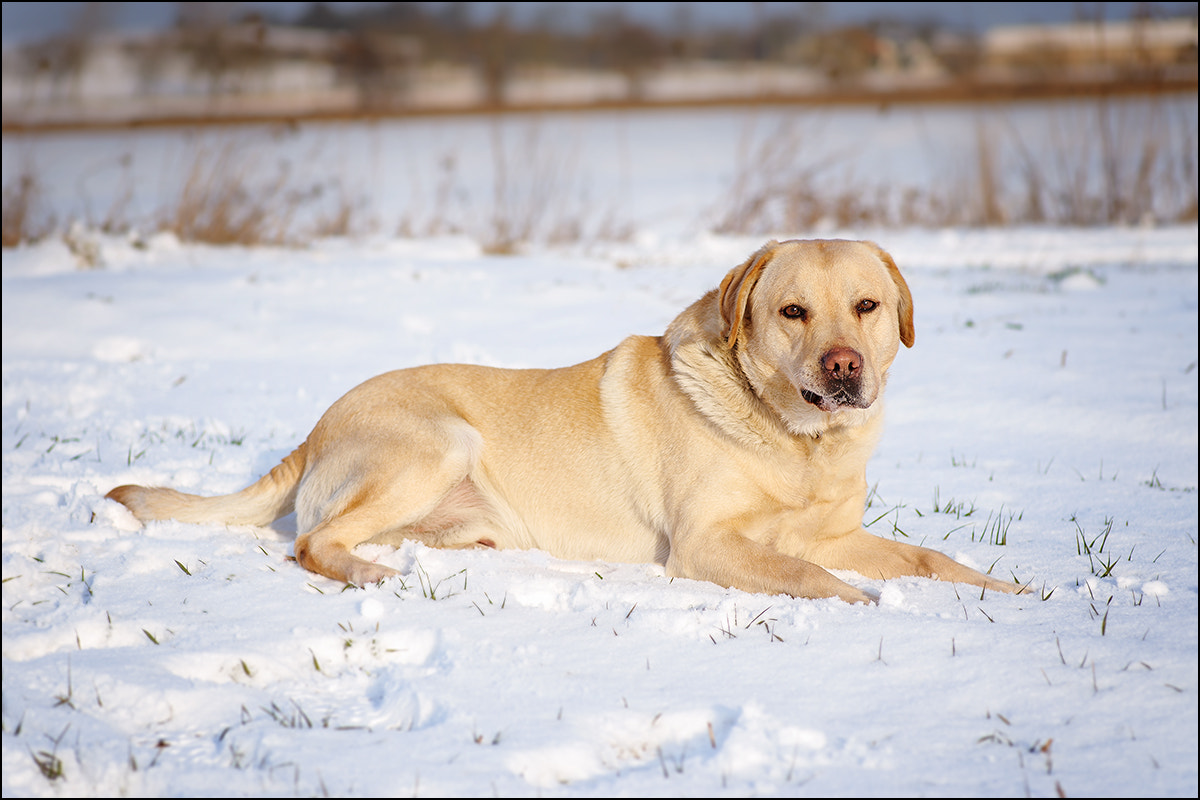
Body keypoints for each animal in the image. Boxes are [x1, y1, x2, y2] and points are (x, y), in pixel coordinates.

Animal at [108, 241, 1022, 604]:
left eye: (866, 307)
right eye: (793, 312)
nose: (843, 368)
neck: (798, 444)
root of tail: (317, 427)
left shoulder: (837, 532)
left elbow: (928, 557)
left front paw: (1009, 591)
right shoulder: (706, 545)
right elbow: (803, 573)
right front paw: (861, 601)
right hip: (440, 441)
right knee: (311, 541)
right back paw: (367, 573)